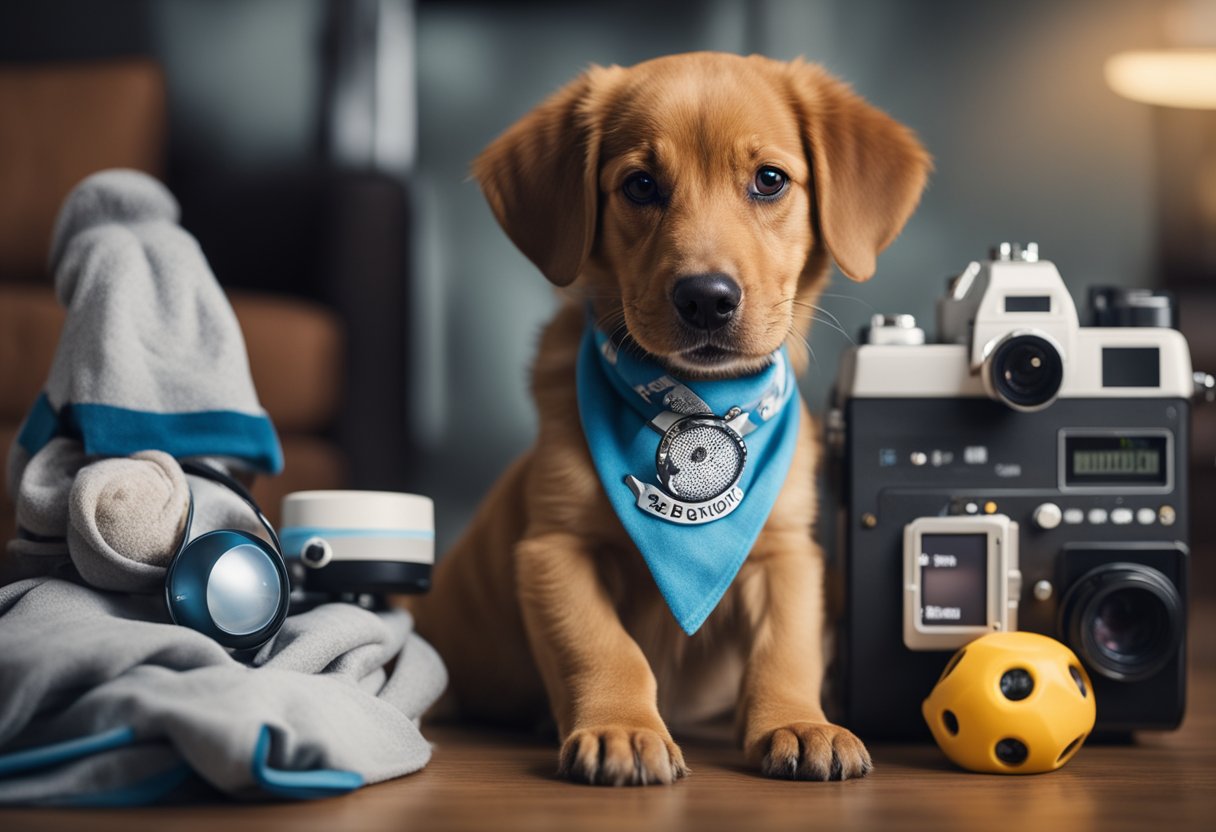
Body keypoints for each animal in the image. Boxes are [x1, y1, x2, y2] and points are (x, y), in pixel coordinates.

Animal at [411, 53, 929, 788]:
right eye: (641, 185)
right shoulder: (554, 549)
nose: (706, 299)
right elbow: (603, 646)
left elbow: (787, 647)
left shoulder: (787, 551)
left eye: (770, 180)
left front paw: (800, 723)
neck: (695, 399)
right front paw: (623, 728)